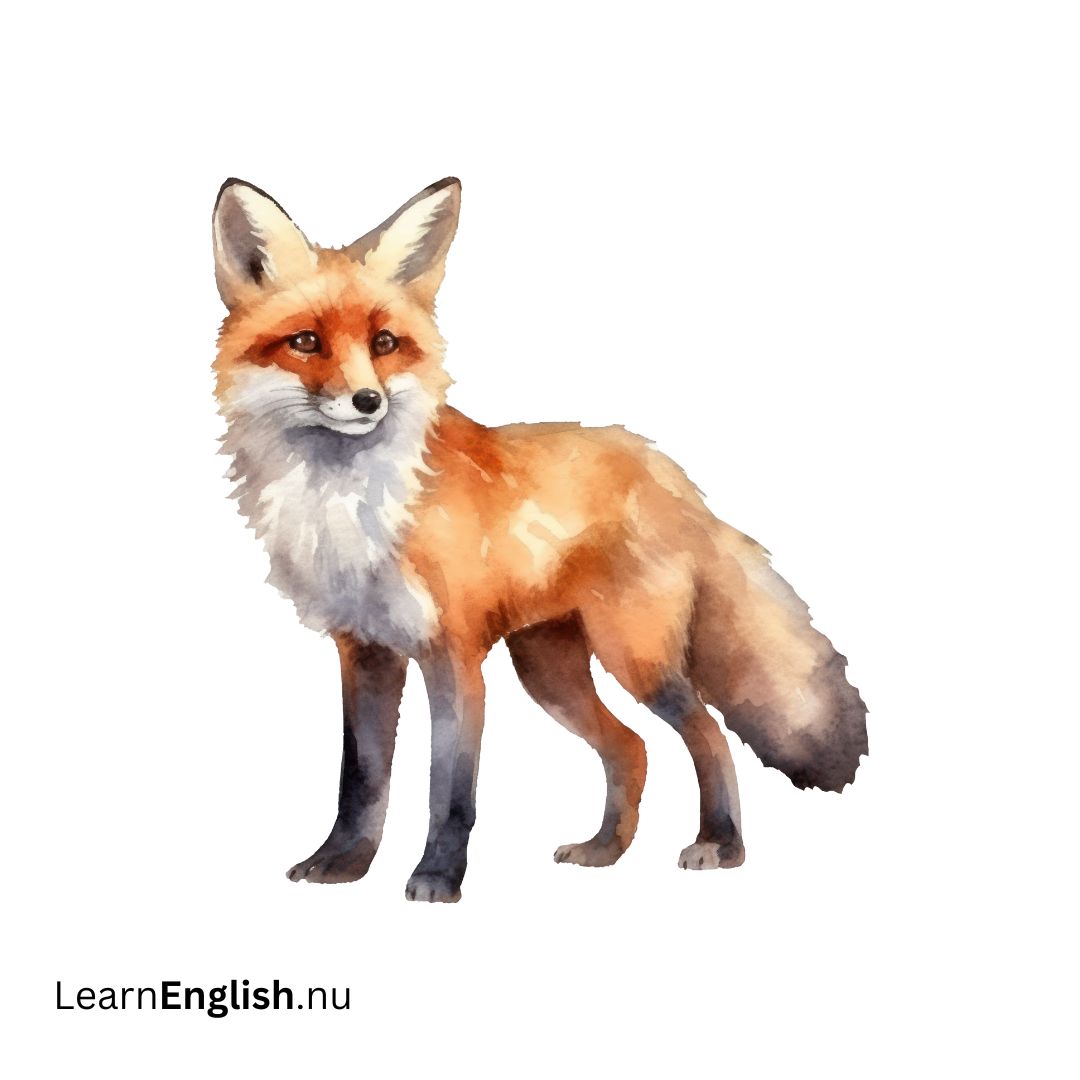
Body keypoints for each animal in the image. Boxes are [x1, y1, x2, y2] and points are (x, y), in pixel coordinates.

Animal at [212, 176, 868, 903]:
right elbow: (360, 778)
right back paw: (605, 849)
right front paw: (342, 864)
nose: (367, 401)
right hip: (549, 672)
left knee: (708, 734)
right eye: (304, 341)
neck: (350, 501)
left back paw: (720, 844)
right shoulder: (366, 652)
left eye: (384, 343)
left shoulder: (454, 656)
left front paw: (438, 877)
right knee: (631, 747)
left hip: (634, 658)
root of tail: (668, 471)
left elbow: (450, 791)